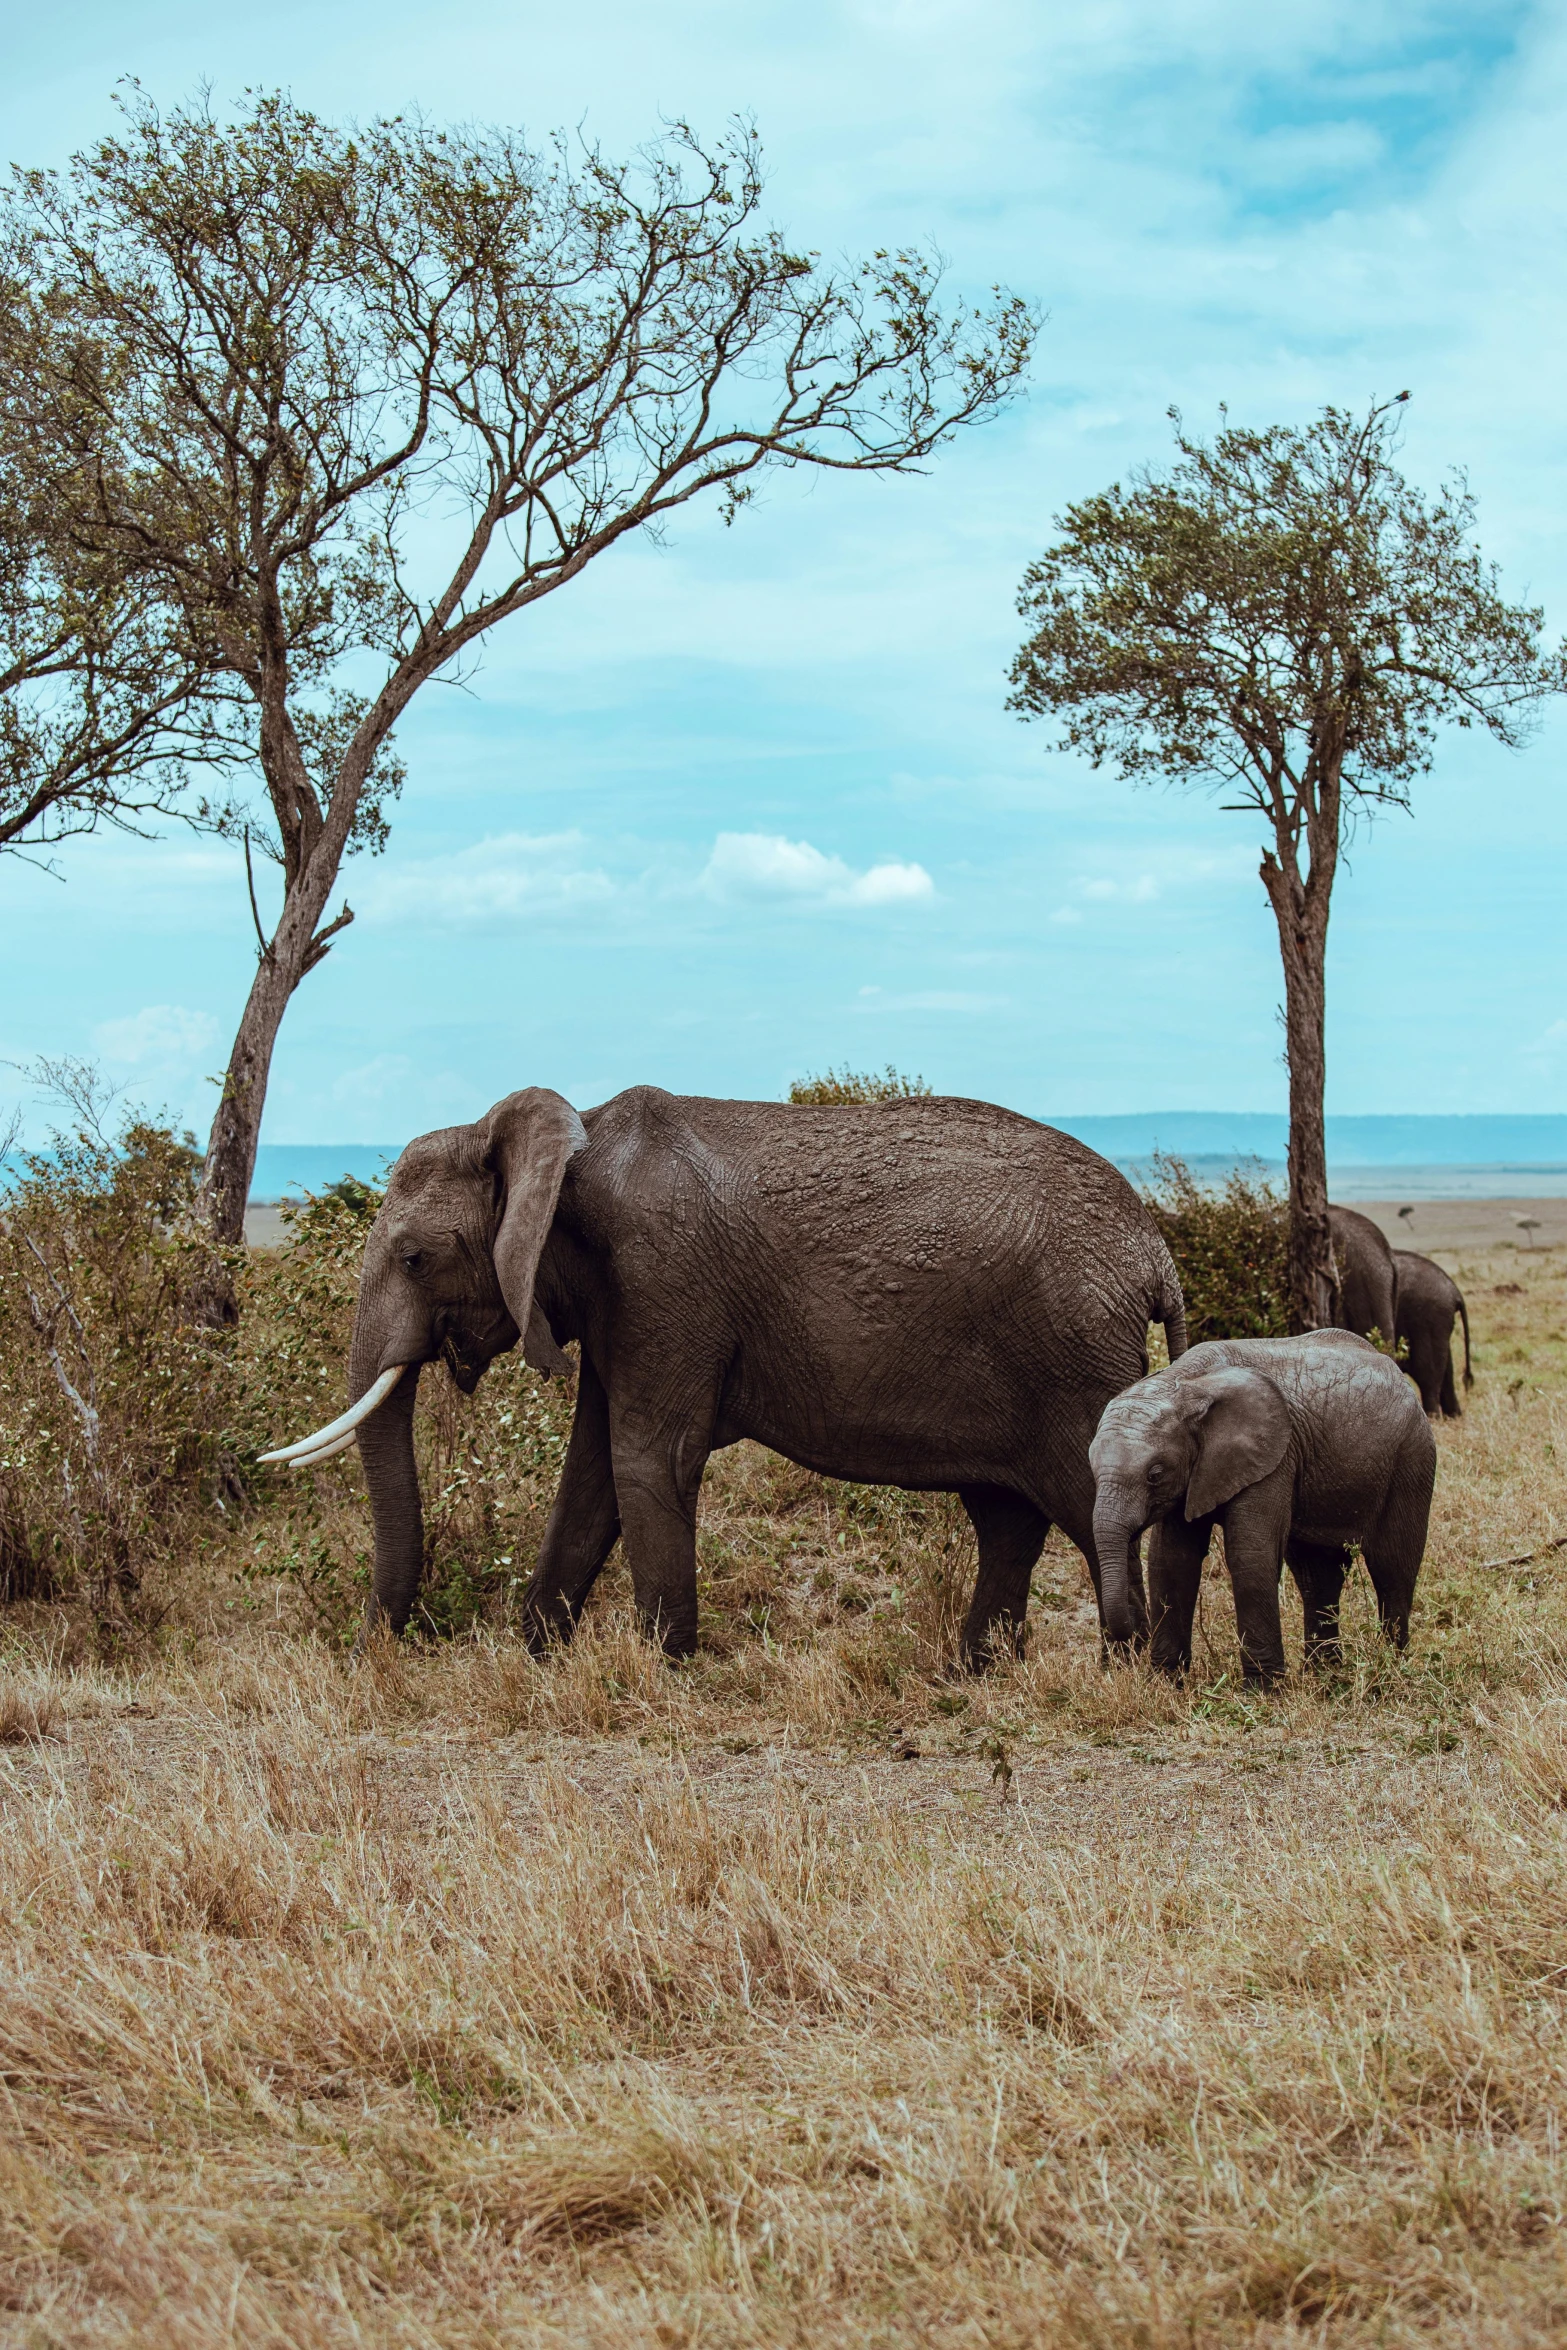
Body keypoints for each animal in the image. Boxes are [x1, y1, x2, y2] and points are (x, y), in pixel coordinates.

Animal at [263, 1085, 1188, 1663]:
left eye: (415, 1259)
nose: (366, 1657)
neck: (565, 1141)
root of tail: (1156, 1256)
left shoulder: (661, 1279)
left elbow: (646, 1460)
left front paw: (662, 1671)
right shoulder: (619, 1303)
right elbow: (591, 1474)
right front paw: (537, 1659)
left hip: (1070, 1359)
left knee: (1086, 1506)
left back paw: (1131, 1671)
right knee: (1005, 1517)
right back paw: (974, 1673)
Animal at [1090, 1334, 1437, 1682]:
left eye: (1155, 1475)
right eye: (1091, 1470)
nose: (1128, 1638)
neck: (1187, 1383)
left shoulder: (1274, 1458)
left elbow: (1250, 1555)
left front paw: (1262, 1689)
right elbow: (1171, 1559)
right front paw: (1165, 1682)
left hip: (1412, 1458)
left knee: (1392, 1567)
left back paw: (1391, 1667)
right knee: (1317, 1575)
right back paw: (1324, 1676)